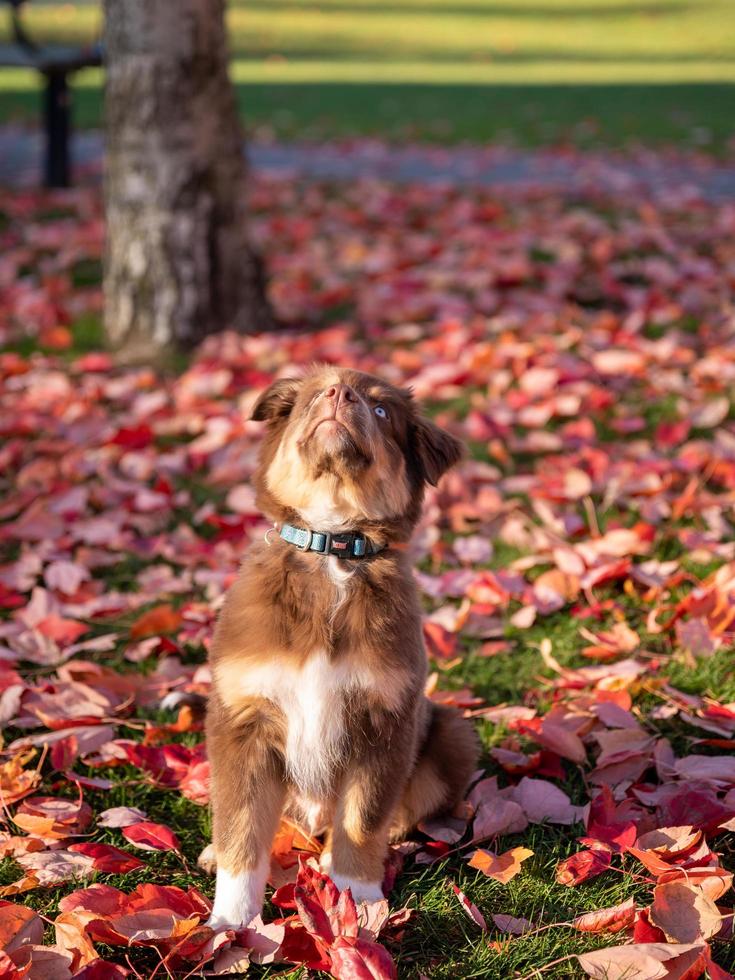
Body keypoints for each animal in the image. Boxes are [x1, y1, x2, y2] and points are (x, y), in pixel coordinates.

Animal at [207, 366, 480, 928]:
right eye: (314, 396)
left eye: (380, 410)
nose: (339, 393)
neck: (332, 548)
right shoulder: (241, 723)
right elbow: (241, 827)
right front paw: (231, 922)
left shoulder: (385, 719)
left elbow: (362, 819)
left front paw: (360, 897)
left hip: (453, 730)